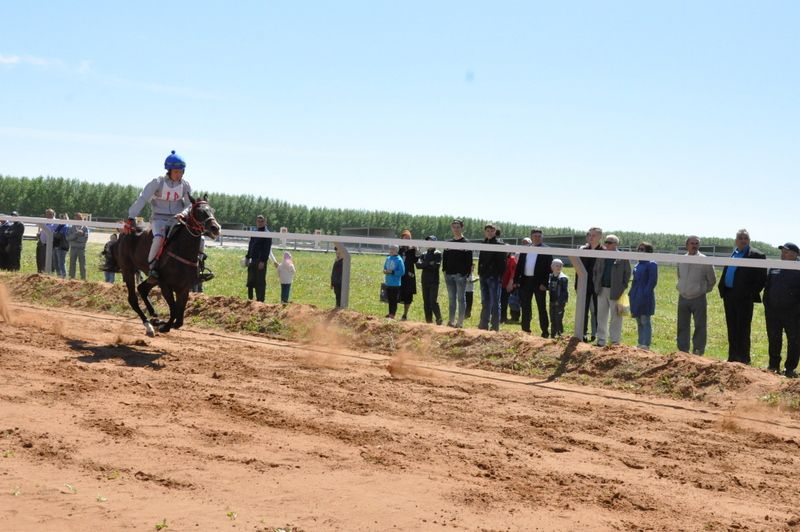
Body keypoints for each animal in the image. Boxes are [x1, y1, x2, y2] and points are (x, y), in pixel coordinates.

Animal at [114, 195, 220, 336]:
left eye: (212, 210)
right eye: (199, 212)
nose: (215, 228)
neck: (182, 251)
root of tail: (125, 232)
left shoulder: (184, 288)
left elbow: (179, 319)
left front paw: (163, 323)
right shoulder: (165, 285)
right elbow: (174, 310)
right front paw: (164, 326)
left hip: (151, 279)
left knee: (142, 289)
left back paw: (154, 315)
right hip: (128, 270)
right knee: (133, 299)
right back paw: (149, 325)